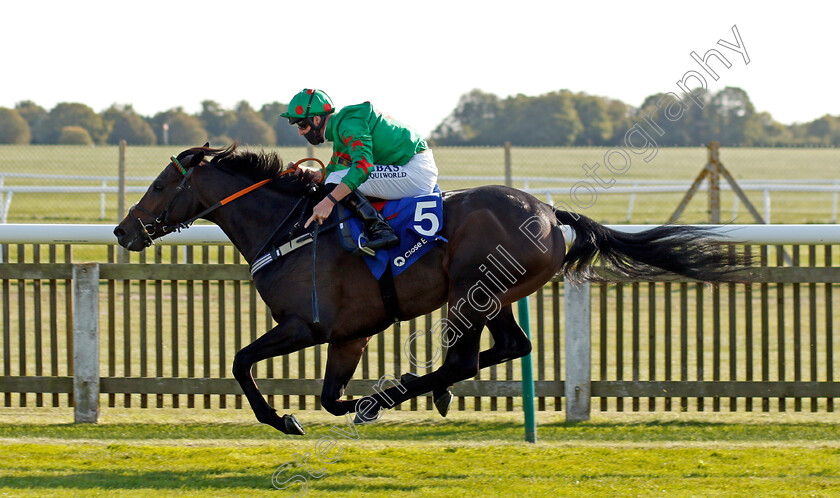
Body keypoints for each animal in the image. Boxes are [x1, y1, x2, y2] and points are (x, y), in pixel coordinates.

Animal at [115, 142, 740, 434]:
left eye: (160, 184)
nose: (123, 231)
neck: (291, 227)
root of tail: (547, 211)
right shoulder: (350, 335)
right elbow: (328, 395)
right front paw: (340, 406)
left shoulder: (308, 325)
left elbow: (242, 362)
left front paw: (285, 419)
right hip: (494, 296)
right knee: (508, 346)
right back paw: (423, 392)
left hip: (472, 290)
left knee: (463, 357)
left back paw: (403, 392)